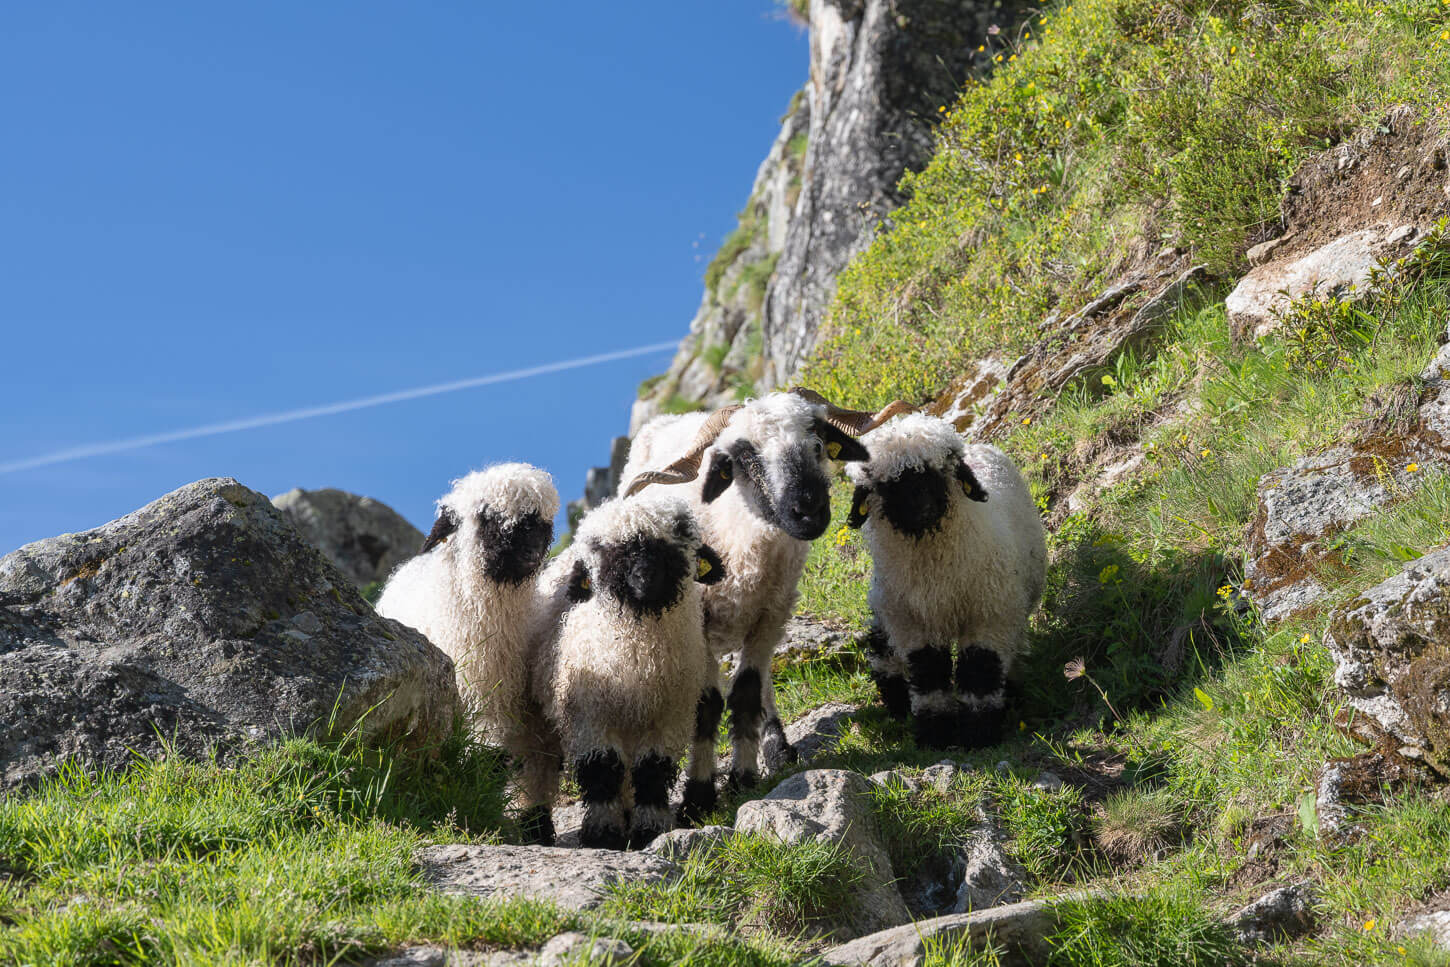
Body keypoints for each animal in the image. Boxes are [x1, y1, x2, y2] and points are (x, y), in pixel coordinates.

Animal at [375, 462, 561, 844]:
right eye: (488, 517)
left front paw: (537, 826)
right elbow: (489, 761)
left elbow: (534, 767)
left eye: (541, 522)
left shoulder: (528, 713)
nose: (531, 552)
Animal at [528, 493, 725, 849]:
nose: (644, 579)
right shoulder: (589, 715)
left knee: (706, 718)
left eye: (673, 541)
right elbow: (602, 767)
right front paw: (603, 834)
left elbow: (653, 770)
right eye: (604, 551)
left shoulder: (670, 715)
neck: (638, 658)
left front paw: (650, 829)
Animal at [620, 389, 888, 818]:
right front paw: (698, 797)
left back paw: (777, 747)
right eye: (746, 458)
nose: (808, 511)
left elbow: (747, 693)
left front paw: (743, 778)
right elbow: (707, 706)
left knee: (761, 685)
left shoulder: (771, 615)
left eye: (816, 441)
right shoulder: (699, 623)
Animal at [844, 413, 1047, 750]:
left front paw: (979, 735)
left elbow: (980, 673)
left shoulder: (988, 616)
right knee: (883, 650)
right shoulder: (913, 625)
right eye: (887, 485)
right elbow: (928, 678)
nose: (922, 508)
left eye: (938, 471)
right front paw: (934, 734)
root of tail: (979, 445)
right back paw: (897, 704)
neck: (936, 572)